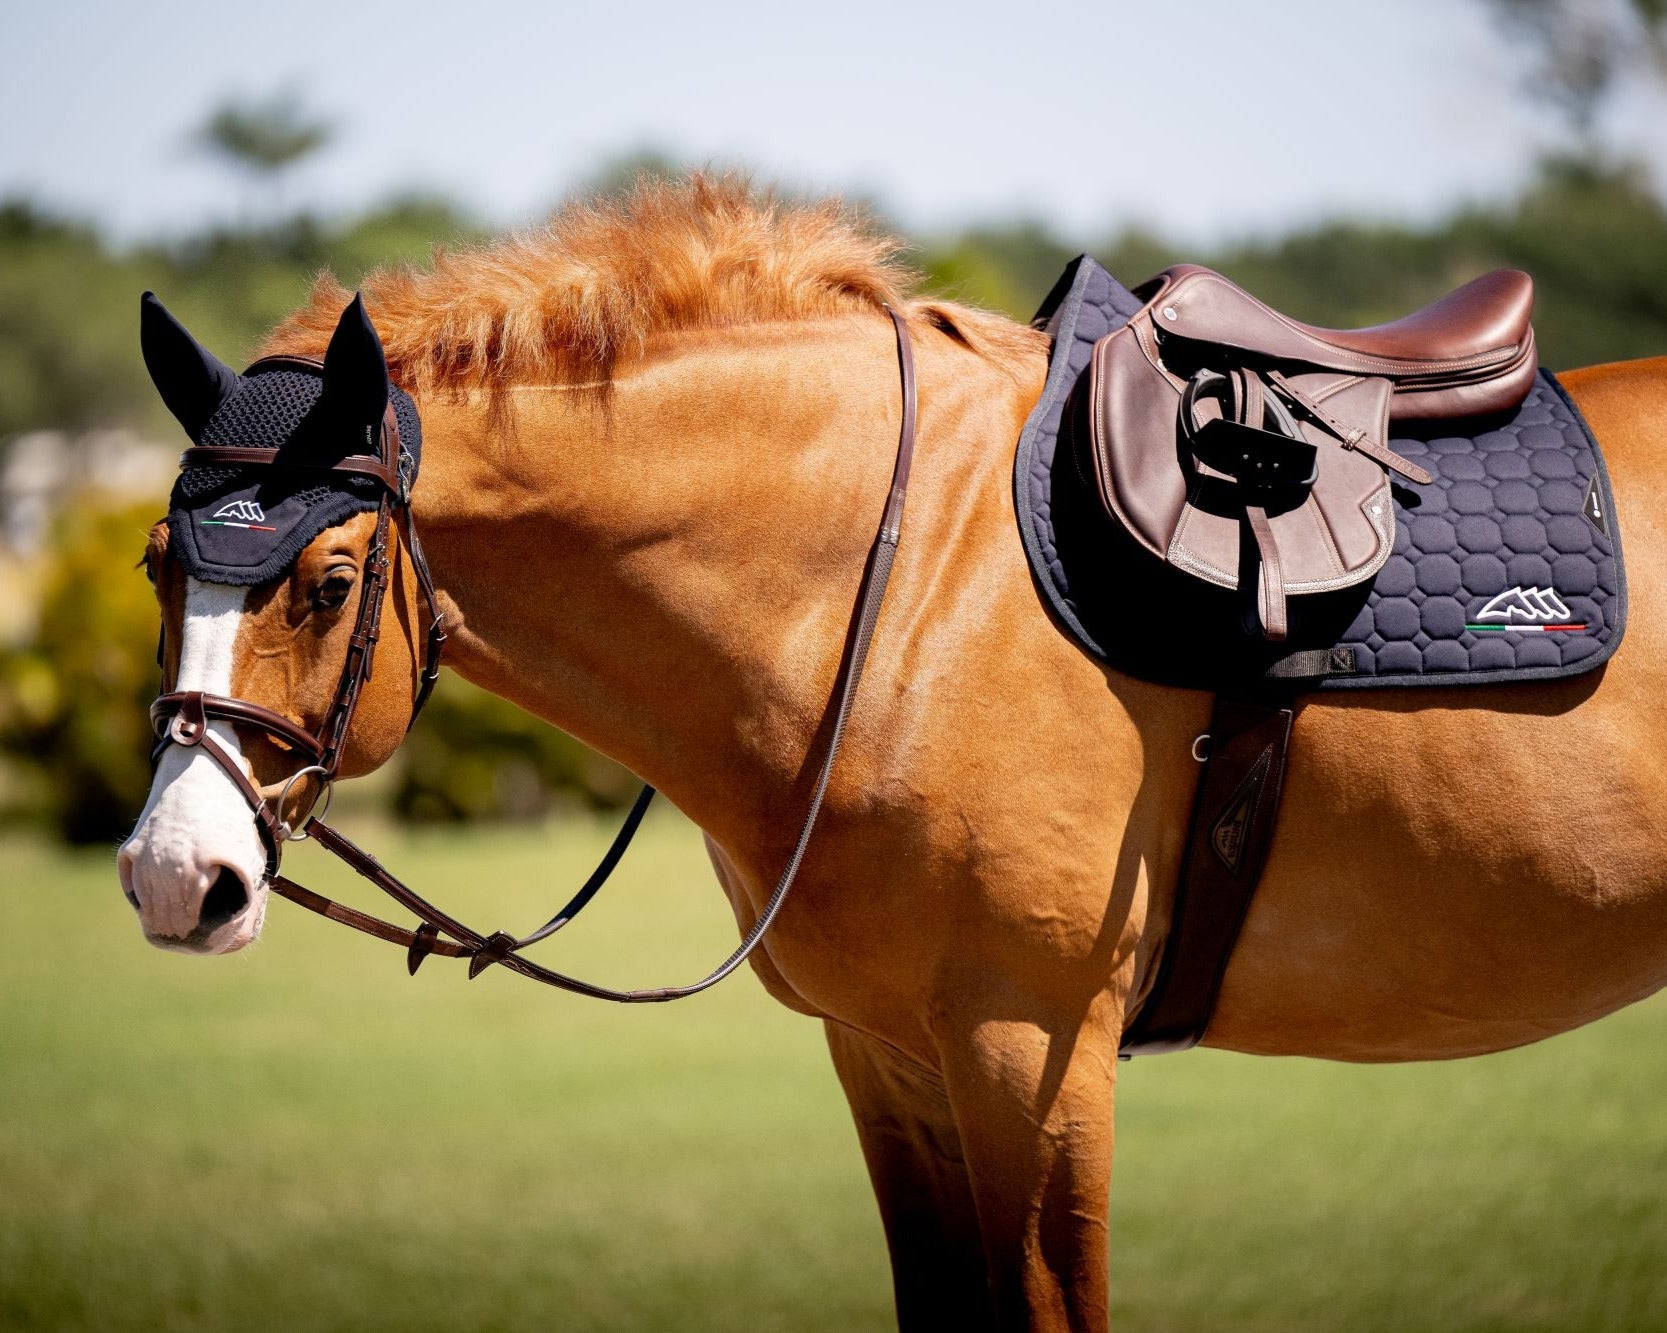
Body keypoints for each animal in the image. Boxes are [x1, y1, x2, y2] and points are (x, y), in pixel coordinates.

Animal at [118, 176, 1667, 1330]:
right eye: (154, 565)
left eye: (325, 581)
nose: (172, 876)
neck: (904, 582)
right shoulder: (890, 1059)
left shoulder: (1031, 1052)